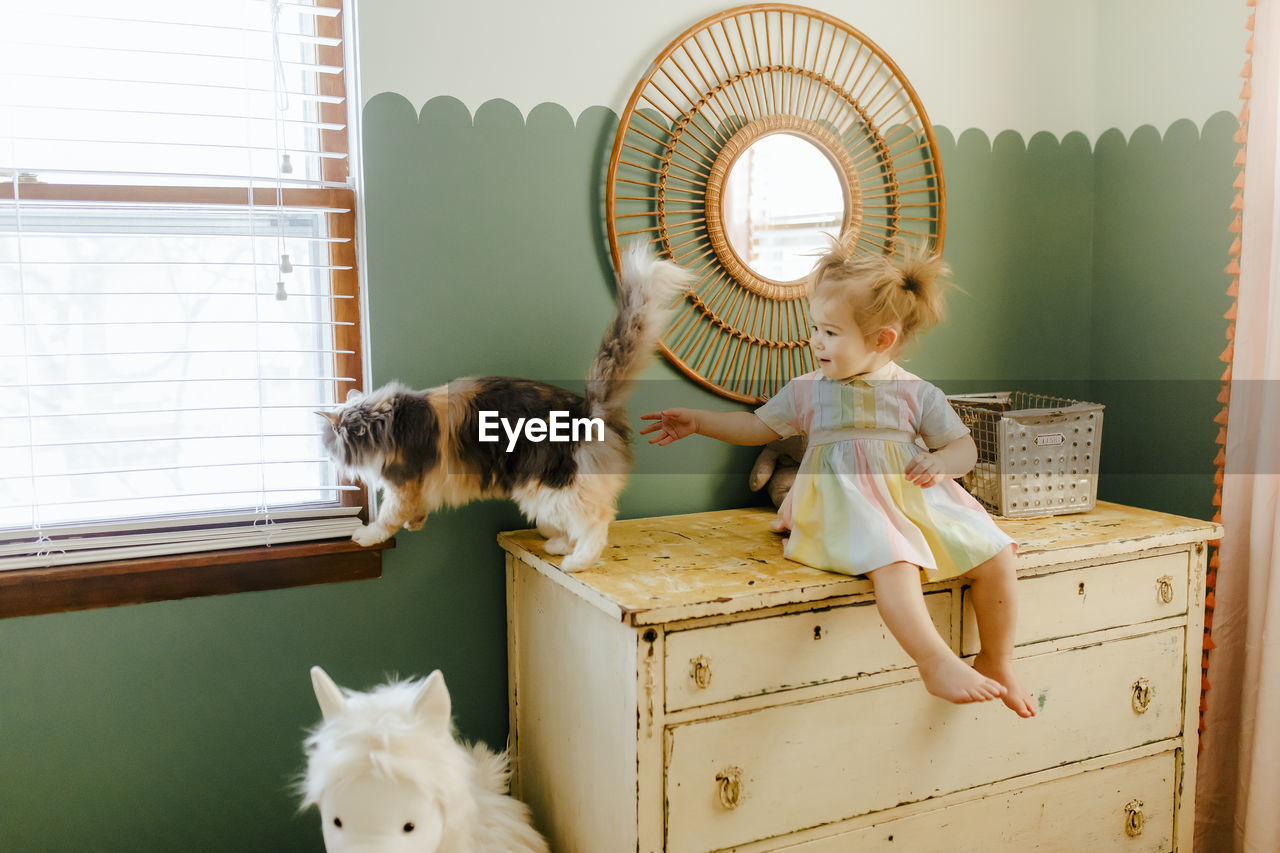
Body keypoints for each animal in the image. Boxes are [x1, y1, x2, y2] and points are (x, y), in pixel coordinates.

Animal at [325, 242, 696, 568]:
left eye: (337, 439)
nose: (332, 455)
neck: (391, 423)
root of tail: (589, 410)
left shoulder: (402, 483)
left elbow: (387, 519)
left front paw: (366, 536)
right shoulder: (413, 487)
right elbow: (412, 512)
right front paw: (415, 523)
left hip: (552, 486)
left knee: (597, 521)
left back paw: (577, 561)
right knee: (578, 522)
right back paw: (559, 545)